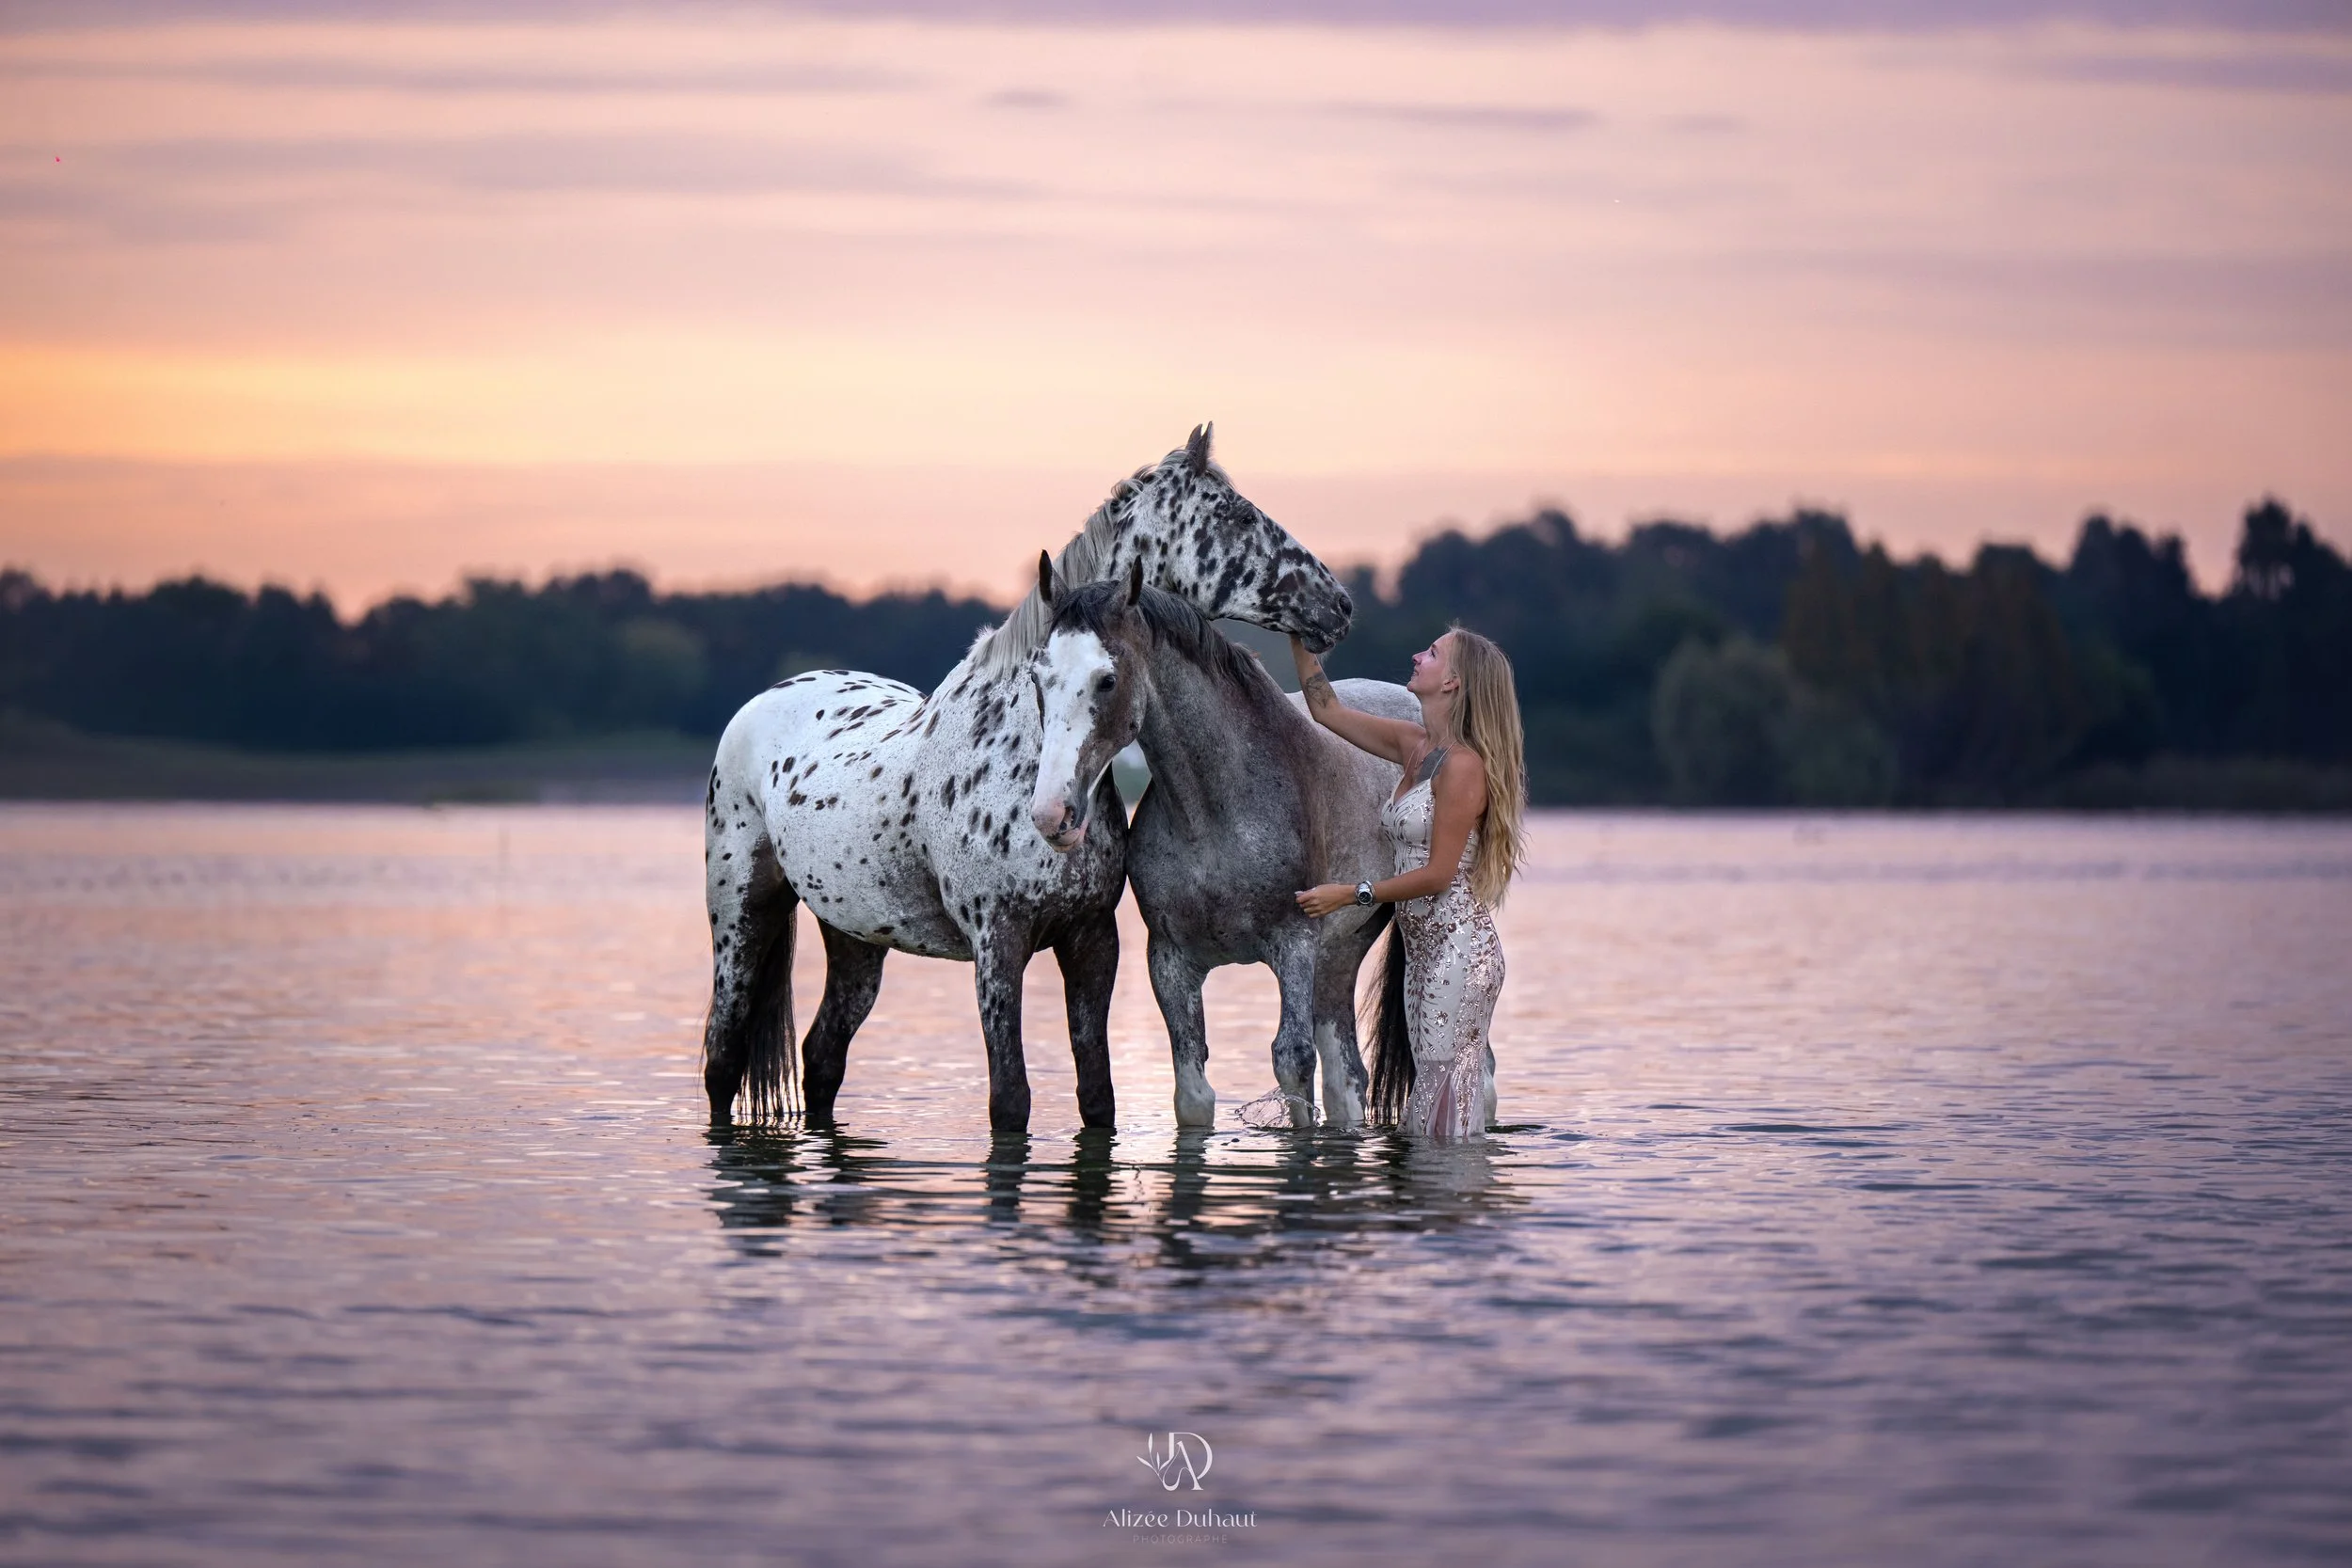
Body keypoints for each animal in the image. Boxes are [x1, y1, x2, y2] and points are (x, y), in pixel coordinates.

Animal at [702, 425, 1354, 1133]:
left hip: (855, 939)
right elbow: (1010, 1100)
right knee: (722, 1059)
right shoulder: (998, 946)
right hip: (741, 916)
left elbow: (1098, 1097)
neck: (1014, 757)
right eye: (1235, 513)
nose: (1338, 603)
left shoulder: (1092, 940)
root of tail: (764, 701)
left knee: (822, 1056)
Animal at [1025, 571, 1420, 1129]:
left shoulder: (1294, 944)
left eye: (1106, 680)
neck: (1212, 812)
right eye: (1038, 679)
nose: (1051, 814)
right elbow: (1193, 1090)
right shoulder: (1171, 961)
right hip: (1342, 951)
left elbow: (1293, 1062)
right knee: (1346, 1075)